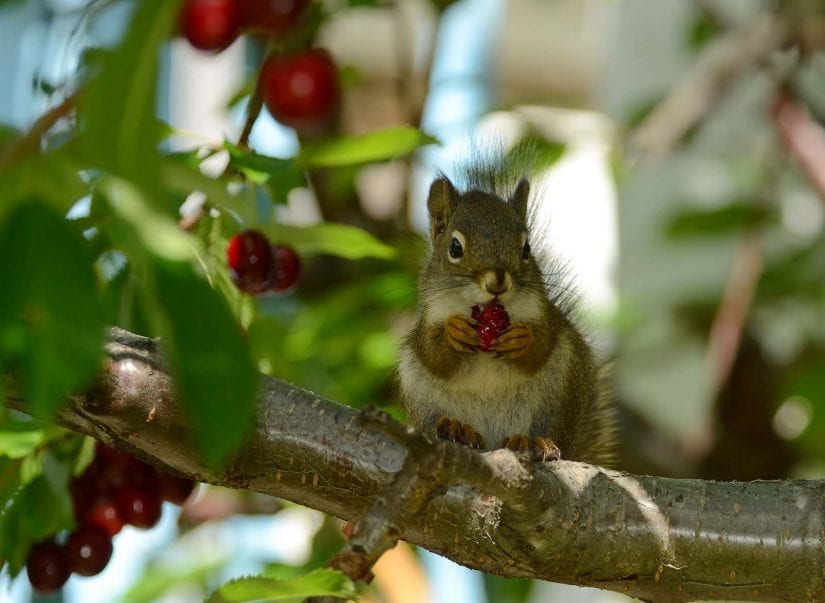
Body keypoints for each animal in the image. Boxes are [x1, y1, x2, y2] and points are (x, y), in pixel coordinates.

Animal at [396, 165, 616, 468]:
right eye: (455, 248)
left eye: (526, 248)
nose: (497, 282)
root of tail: (493, 442)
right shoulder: (429, 316)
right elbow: (433, 355)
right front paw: (454, 332)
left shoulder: (545, 315)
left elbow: (541, 345)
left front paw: (523, 339)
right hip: (422, 397)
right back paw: (457, 430)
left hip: (560, 392)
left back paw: (535, 442)